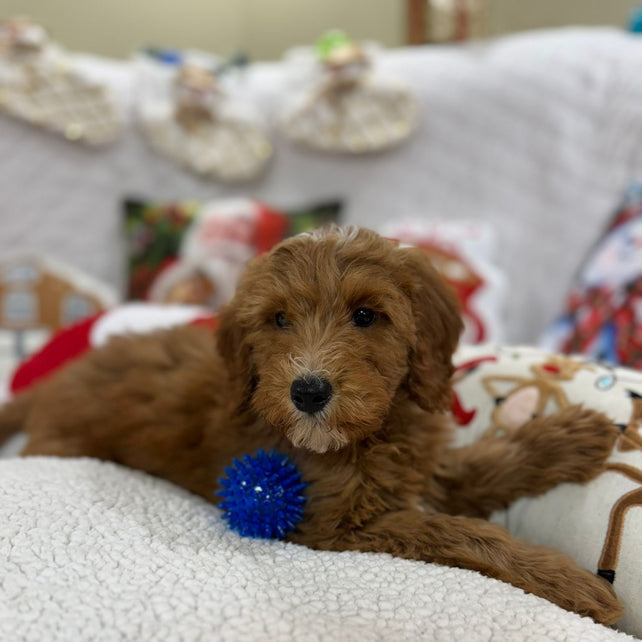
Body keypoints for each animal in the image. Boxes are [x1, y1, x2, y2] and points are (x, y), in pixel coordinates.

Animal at [0, 225, 624, 620]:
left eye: (366, 315)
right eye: (278, 319)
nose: (308, 390)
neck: (367, 438)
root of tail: (49, 385)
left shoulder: (421, 468)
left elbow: (485, 464)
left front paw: (570, 436)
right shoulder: (338, 526)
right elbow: (456, 531)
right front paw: (570, 581)